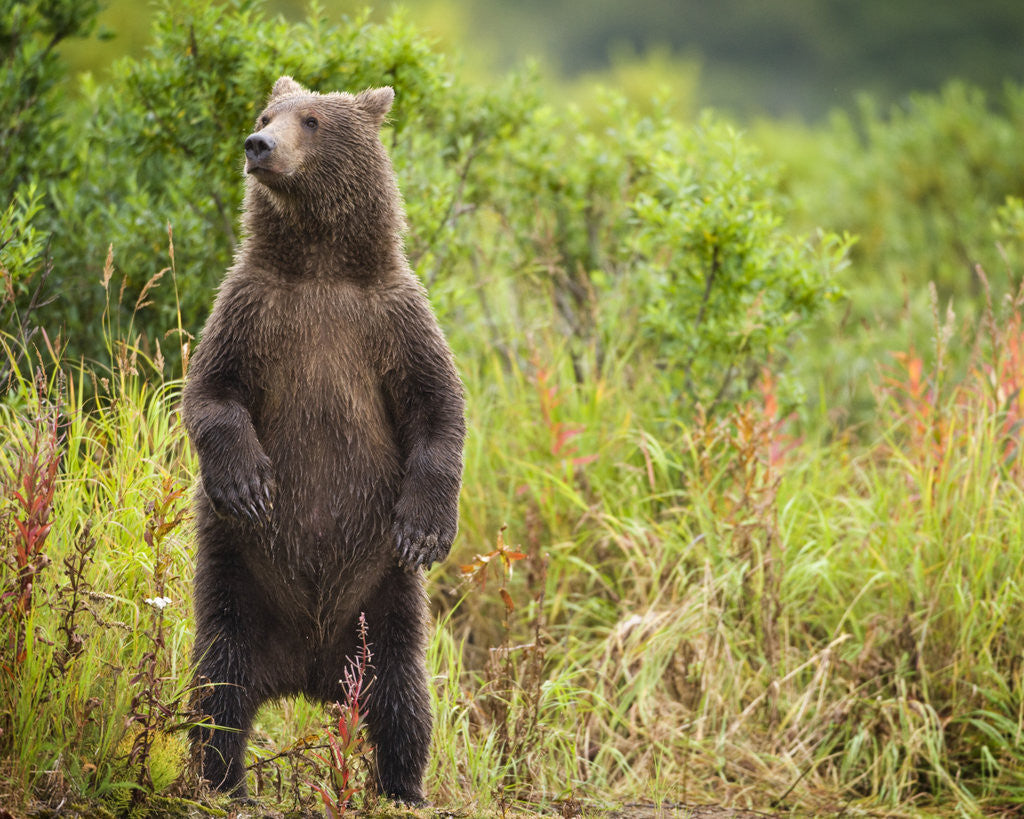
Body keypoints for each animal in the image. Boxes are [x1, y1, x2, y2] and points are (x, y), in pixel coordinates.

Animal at [181, 75, 465, 804]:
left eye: (311, 119)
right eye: (265, 112)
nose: (257, 144)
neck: (319, 266)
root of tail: (309, 673)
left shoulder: (392, 319)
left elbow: (438, 407)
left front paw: (426, 528)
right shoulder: (250, 311)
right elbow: (212, 393)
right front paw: (247, 483)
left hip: (383, 604)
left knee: (403, 697)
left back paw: (404, 786)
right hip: (237, 583)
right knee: (219, 685)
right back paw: (225, 781)